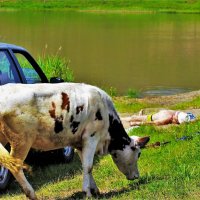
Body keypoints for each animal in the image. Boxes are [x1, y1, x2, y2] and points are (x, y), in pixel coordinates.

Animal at [0, 82, 148, 198]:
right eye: (139, 154)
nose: (137, 176)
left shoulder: (79, 143)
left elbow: (86, 166)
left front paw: (95, 190)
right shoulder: (91, 137)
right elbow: (88, 166)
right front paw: (87, 192)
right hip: (22, 139)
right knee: (16, 166)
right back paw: (31, 194)